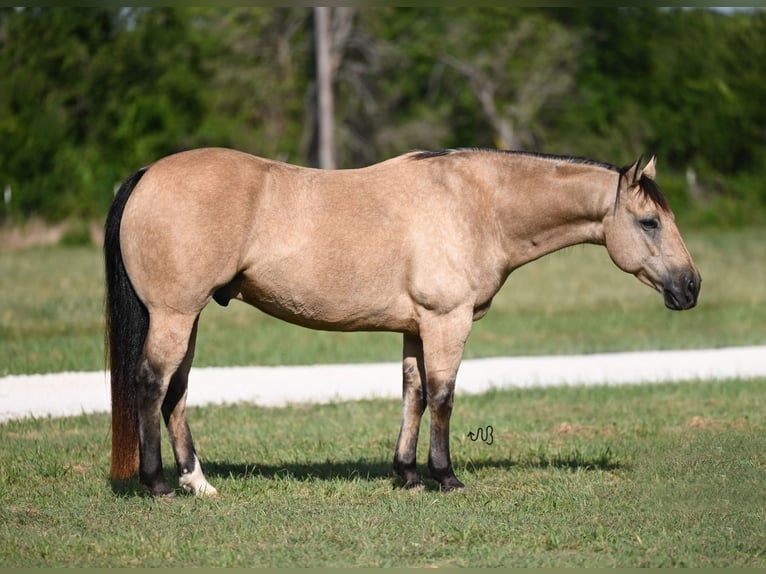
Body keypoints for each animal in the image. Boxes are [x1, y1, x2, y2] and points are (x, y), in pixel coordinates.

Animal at [105, 146, 704, 498]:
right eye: (649, 222)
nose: (692, 287)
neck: (476, 204)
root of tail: (148, 174)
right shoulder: (447, 321)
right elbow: (442, 395)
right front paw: (446, 476)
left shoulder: (416, 328)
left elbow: (412, 393)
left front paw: (408, 473)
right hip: (175, 315)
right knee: (152, 384)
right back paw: (158, 484)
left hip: (189, 317)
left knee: (177, 391)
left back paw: (197, 482)